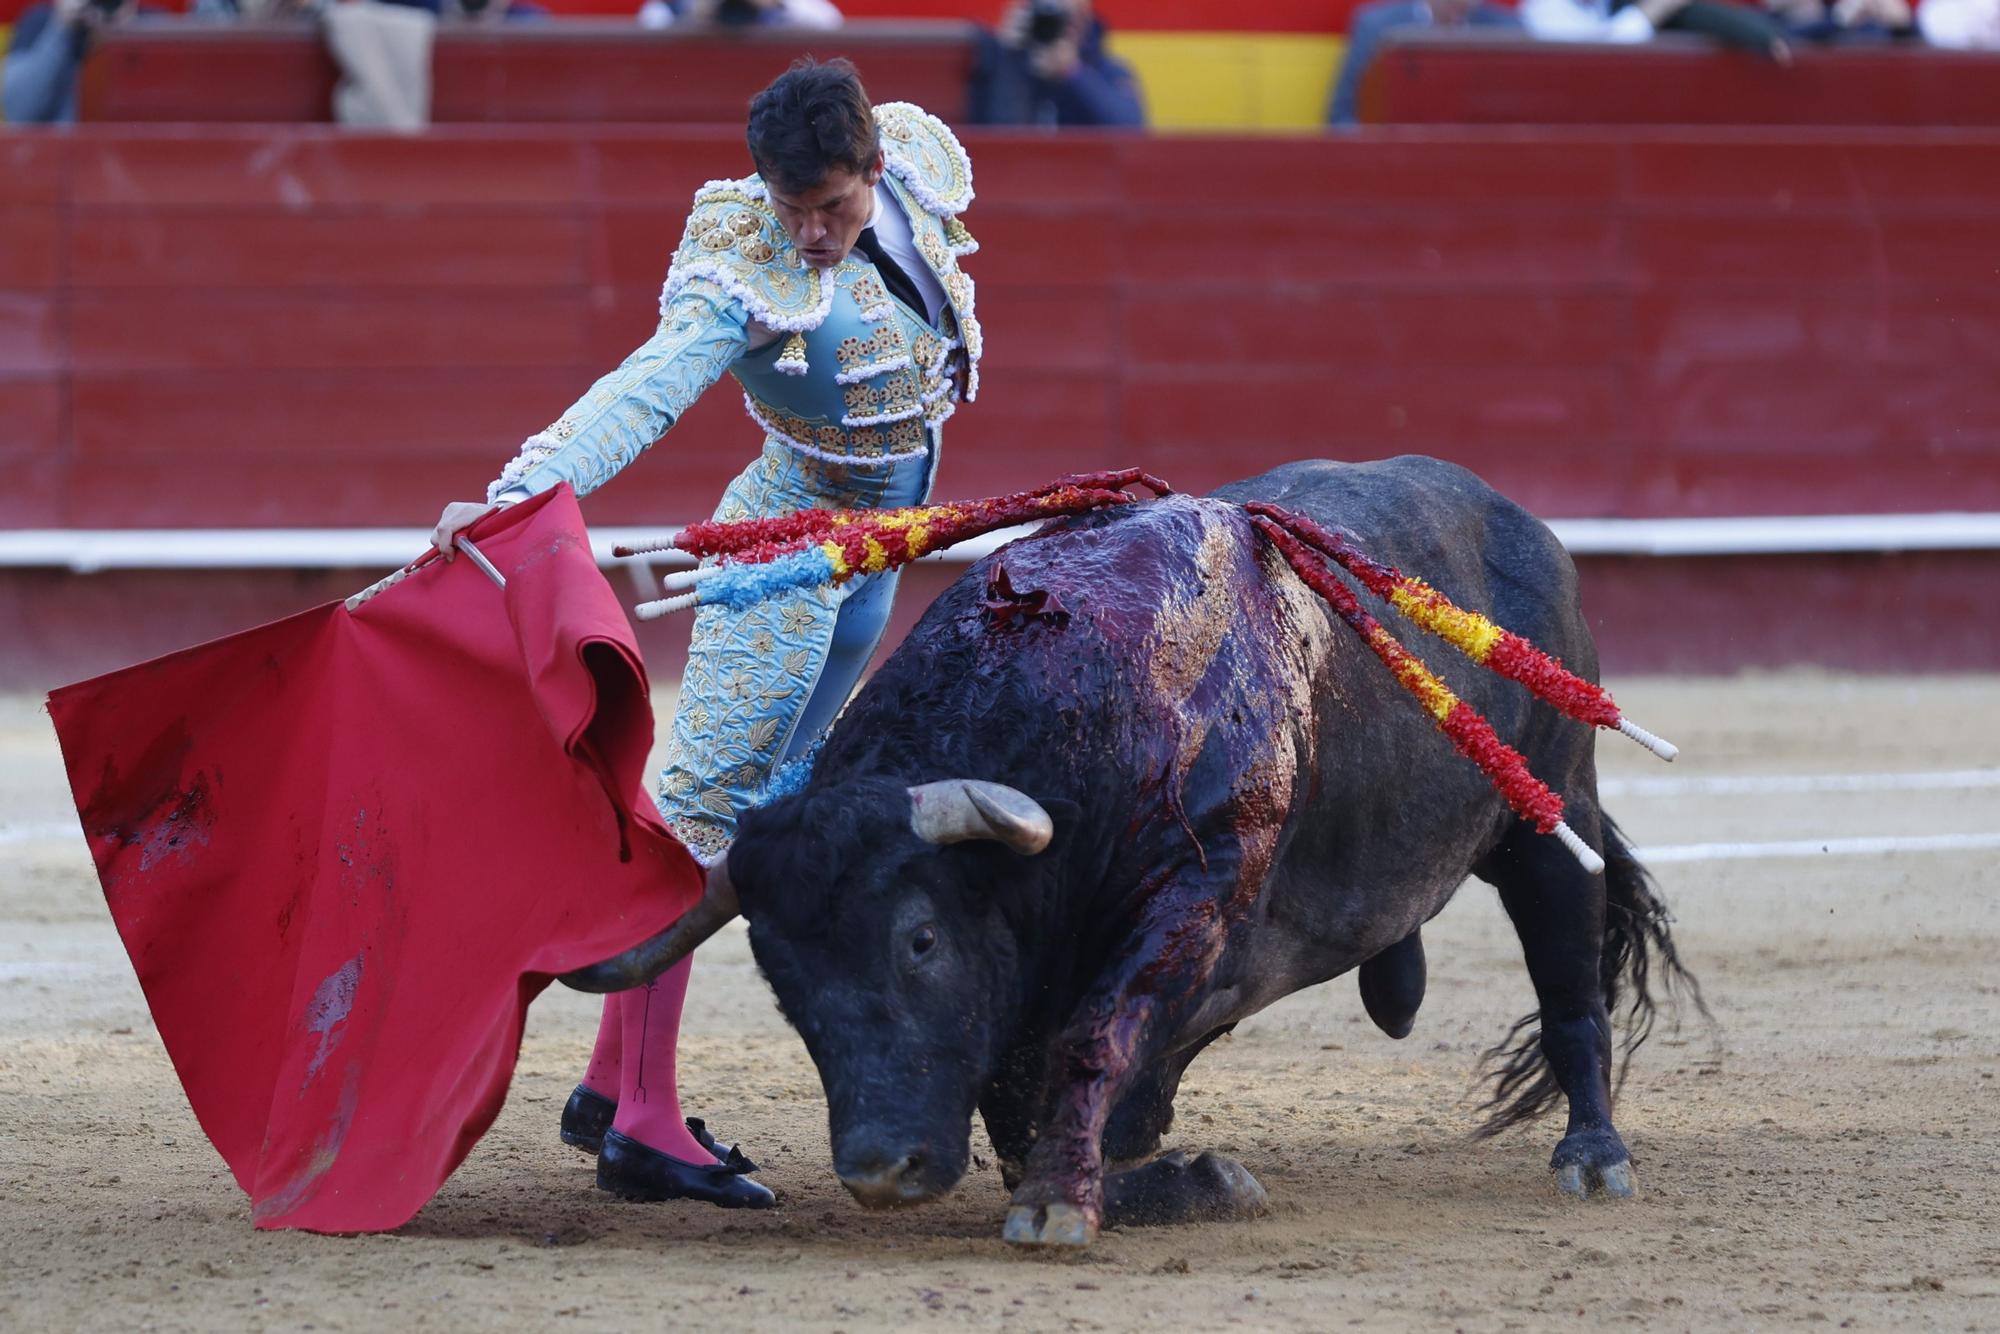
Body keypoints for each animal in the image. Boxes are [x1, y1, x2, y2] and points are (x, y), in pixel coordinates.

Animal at [564, 460, 1688, 1256]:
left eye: (919, 940)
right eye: (780, 978)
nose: (882, 1169)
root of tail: (1515, 518)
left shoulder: (1191, 896)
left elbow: (1090, 1036)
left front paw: (1068, 1201)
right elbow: (1025, 1087)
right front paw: (1151, 1179)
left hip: (1548, 816)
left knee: (1570, 984)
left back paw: (1594, 1157)